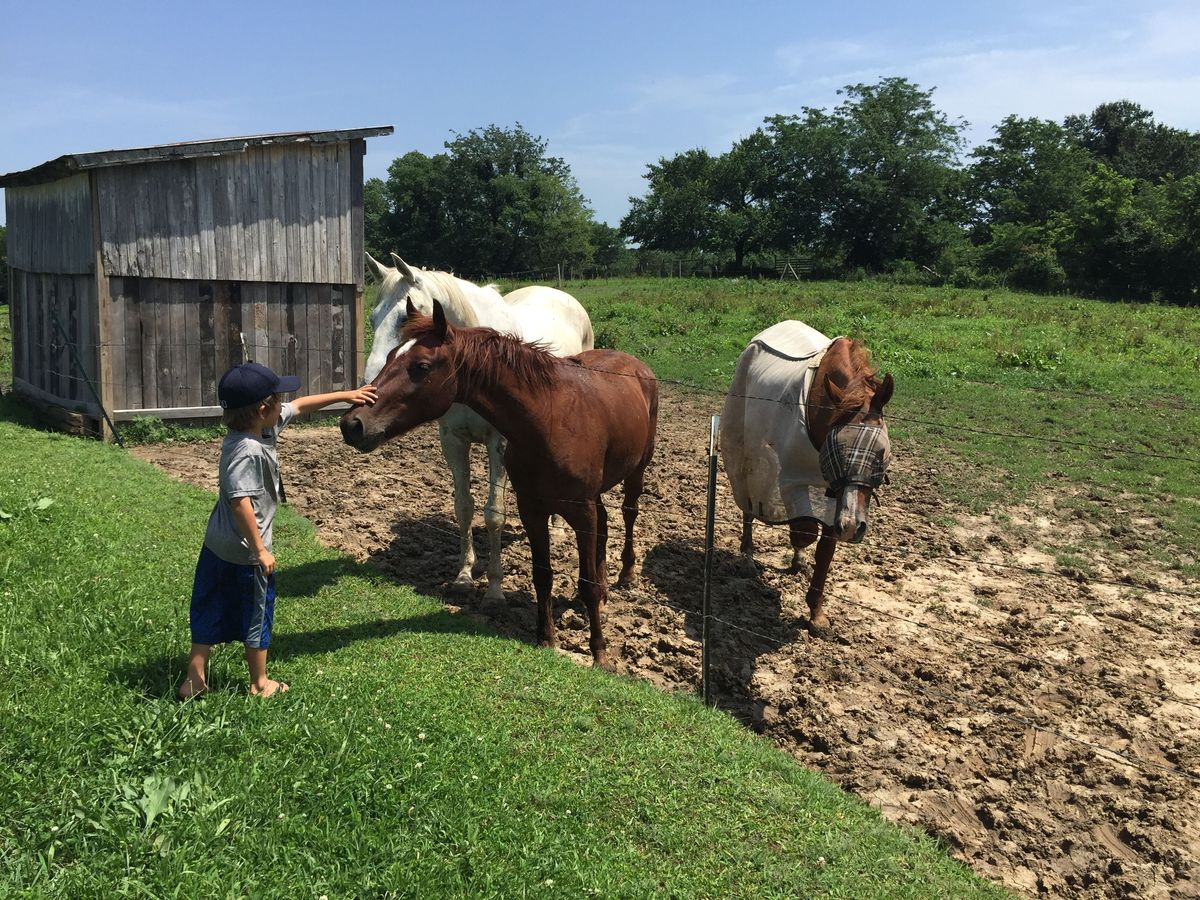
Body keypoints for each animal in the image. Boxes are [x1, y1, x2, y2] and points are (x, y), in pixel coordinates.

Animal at [341, 299, 658, 671]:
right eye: (392, 356)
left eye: (421, 366)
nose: (352, 424)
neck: (550, 419)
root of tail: (637, 365)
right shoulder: (532, 509)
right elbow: (542, 575)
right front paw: (547, 639)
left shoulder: (580, 511)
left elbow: (585, 584)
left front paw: (600, 655)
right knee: (607, 523)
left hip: (636, 472)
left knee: (628, 513)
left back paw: (626, 575)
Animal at [363, 252, 594, 601]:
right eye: (373, 319)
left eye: (405, 318)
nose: (370, 385)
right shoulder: (453, 441)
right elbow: (464, 507)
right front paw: (463, 576)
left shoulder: (499, 442)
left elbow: (493, 513)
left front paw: (495, 588)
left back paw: (556, 527)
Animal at [720, 320, 893, 634]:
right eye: (837, 449)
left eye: (880, 451)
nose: (853, 527)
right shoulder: (792, 480)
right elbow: (804, 531)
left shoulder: (837, 497)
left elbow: (825, 549)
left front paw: (817, 614)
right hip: (747, 455)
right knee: (749, 504)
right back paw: (748, 556)